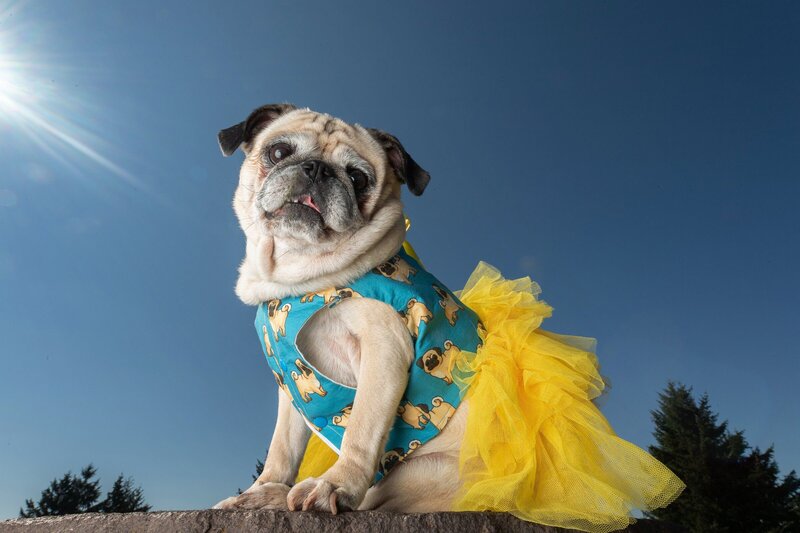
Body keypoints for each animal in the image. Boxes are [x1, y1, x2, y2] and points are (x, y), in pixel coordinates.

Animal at [212, 102, 468, 512]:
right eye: (278, 152)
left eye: (358, 178)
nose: (317, 168)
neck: (300, 278)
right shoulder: (292, 386)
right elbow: (282, 450)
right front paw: (262, 489)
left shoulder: (384, 349)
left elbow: (361, 430)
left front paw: (336, 484)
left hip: (423, 474)